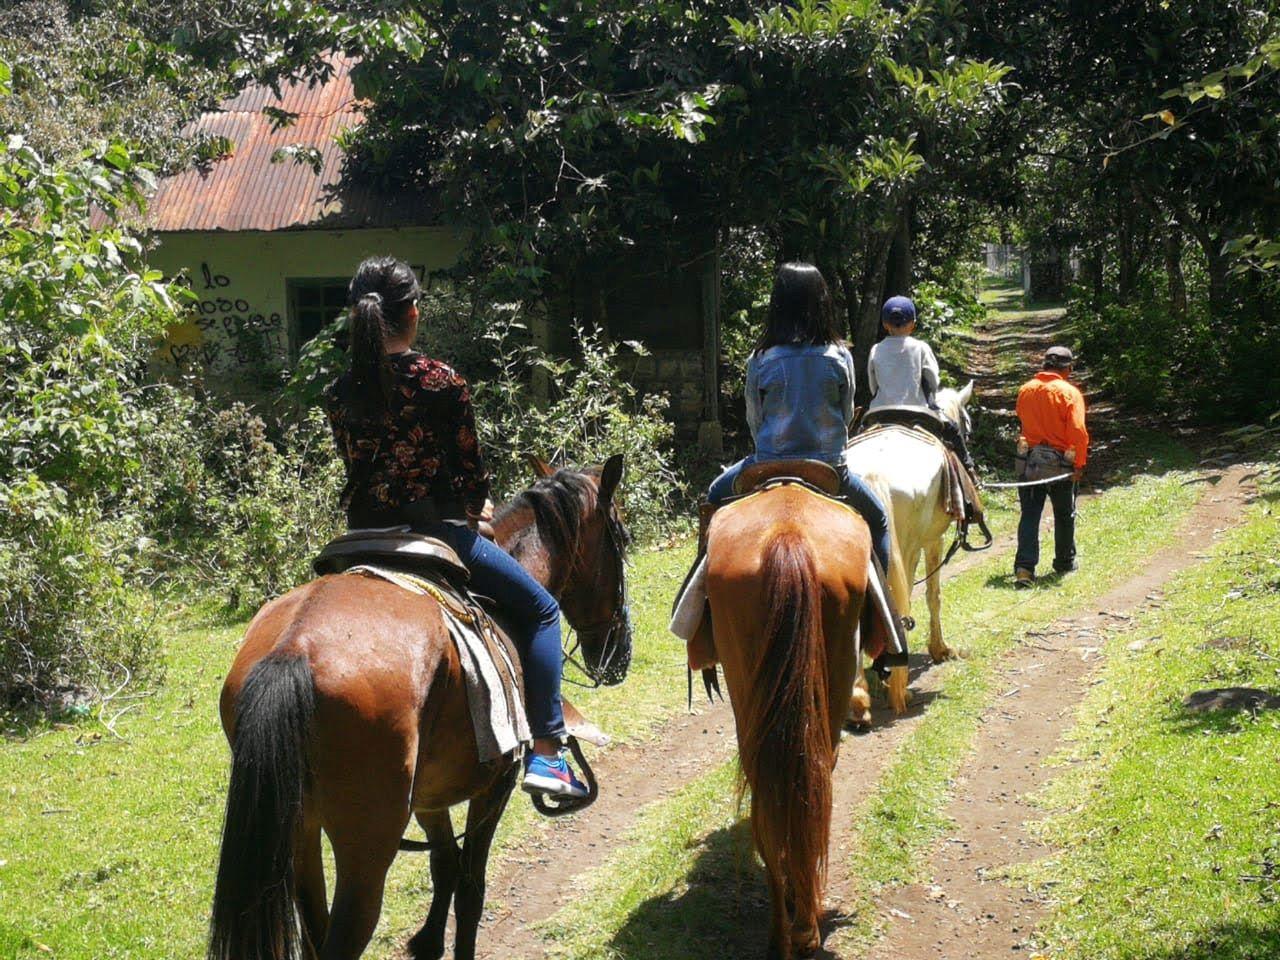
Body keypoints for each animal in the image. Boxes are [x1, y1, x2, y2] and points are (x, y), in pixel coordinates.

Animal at [207, 455, 632, 960]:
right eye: (622, 539)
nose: (616, 656)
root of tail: (295, 647)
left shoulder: (430, 794)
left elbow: (444, 865)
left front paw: (427, 941)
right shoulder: (495, 785)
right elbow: (470, 887)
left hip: (299, 836)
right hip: (366, 847)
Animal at [844, 378, 972, 665]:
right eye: (966, 430)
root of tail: (873, 473)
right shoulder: (934, 540)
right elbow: (933, 594)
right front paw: (940, 649)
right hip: (907, 550)